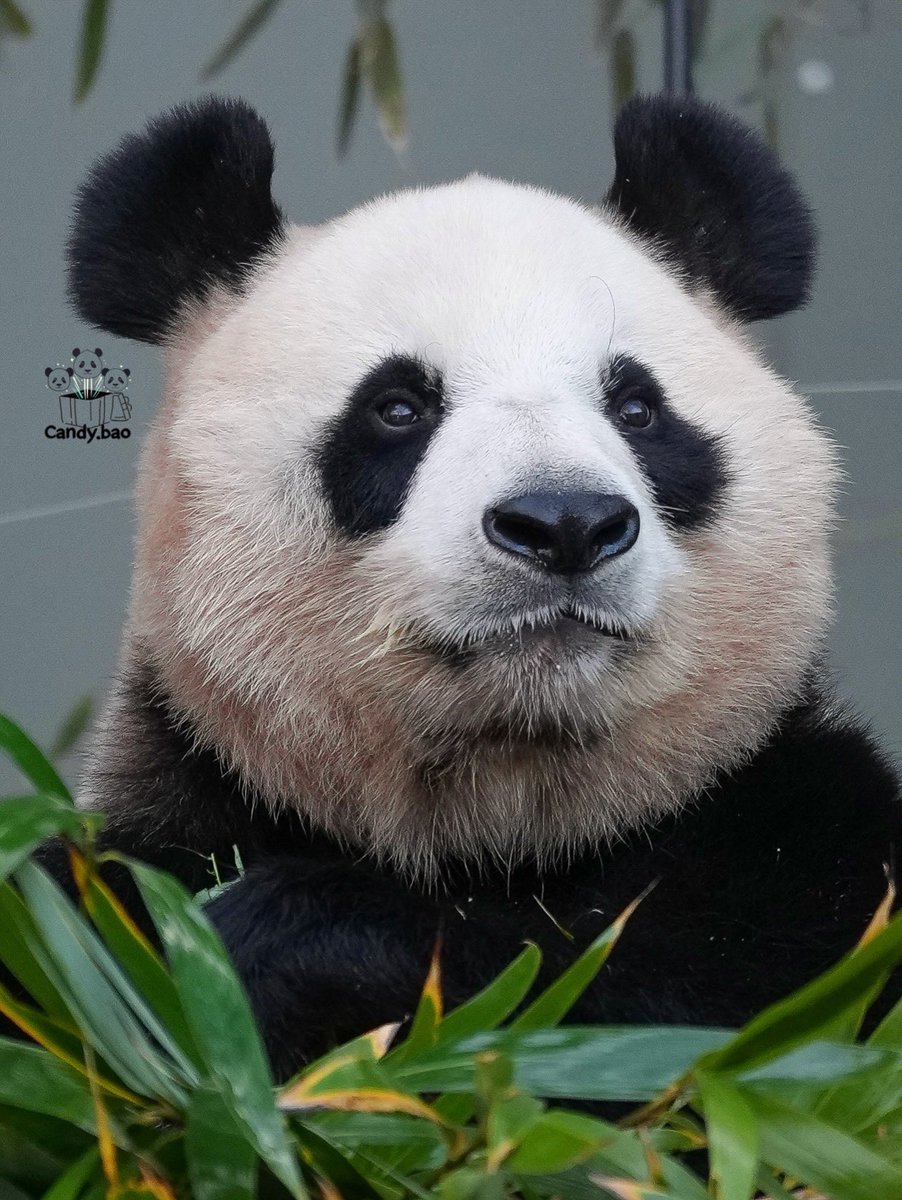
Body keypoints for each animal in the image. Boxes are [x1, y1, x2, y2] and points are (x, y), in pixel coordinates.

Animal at [47, 95, 899, 1080]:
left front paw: (281, 941)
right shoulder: (169, 813)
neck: (500, 819)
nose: (565, 523)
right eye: (397, 408)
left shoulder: (803, 835)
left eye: (637, 409)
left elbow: (680, 1012)